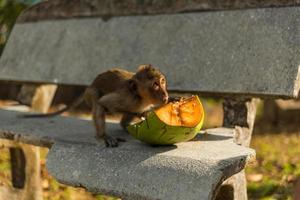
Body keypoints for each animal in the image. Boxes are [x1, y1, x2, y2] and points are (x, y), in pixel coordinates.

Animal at [22, 65, 169, 148]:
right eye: (155, 85)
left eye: (162, 82)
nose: (165, 95)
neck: (139, 96)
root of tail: (90, 85)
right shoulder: (127, 98)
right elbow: (104, 103)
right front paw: (141, 115)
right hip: (90, 94)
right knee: (97, 99)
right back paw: (103, 135)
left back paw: (125, 126)